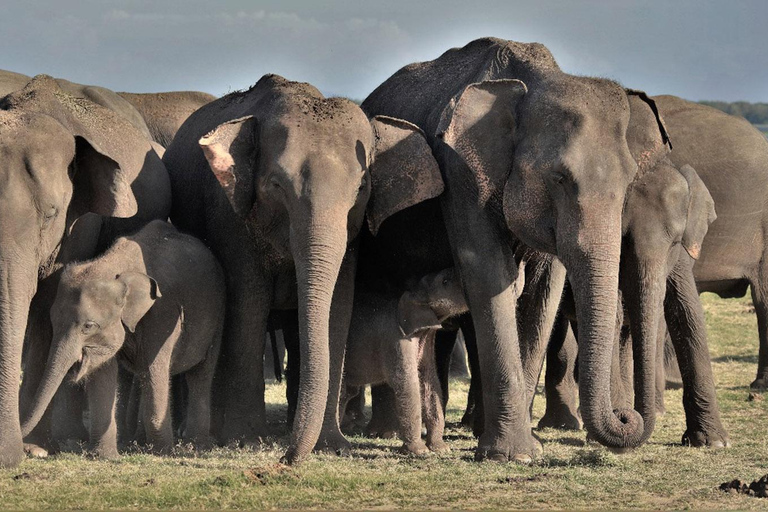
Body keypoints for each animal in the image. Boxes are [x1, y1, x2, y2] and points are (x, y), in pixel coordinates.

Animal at [21, 220, 225, 456]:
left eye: (88, 326)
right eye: (53, 322)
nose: (30, 449)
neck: (114, 264)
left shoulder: (162, 312)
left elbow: (154, 368)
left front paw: (163, 452)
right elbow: (104, 373)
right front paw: (105, 456)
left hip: (218, 315)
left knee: (199, 375)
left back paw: (196, 444)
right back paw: (140, 440)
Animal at [165, 73, 448, 464]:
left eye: (362, 187)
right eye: (275, 185)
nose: (286, 459)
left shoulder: (353, 237)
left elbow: (339, 306)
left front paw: (333, 445)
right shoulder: (230, 217)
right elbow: (248, 303)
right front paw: (245, 440)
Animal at [342, 268, 468, 456]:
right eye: (445, 281)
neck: (413, 292)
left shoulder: (426, 338)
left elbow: (429, 379)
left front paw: (441, 449)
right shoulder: (397, 339)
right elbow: (407, 382)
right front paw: (419, 452)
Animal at [362, 37, 672, 460]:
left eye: (628, 182)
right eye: (558, 178)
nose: (628, 417)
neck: (535, 78)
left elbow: (543, 290)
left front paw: (529, 448)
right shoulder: (461, 172)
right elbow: (489, 273)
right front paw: (510, 453)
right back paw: (385, 432)